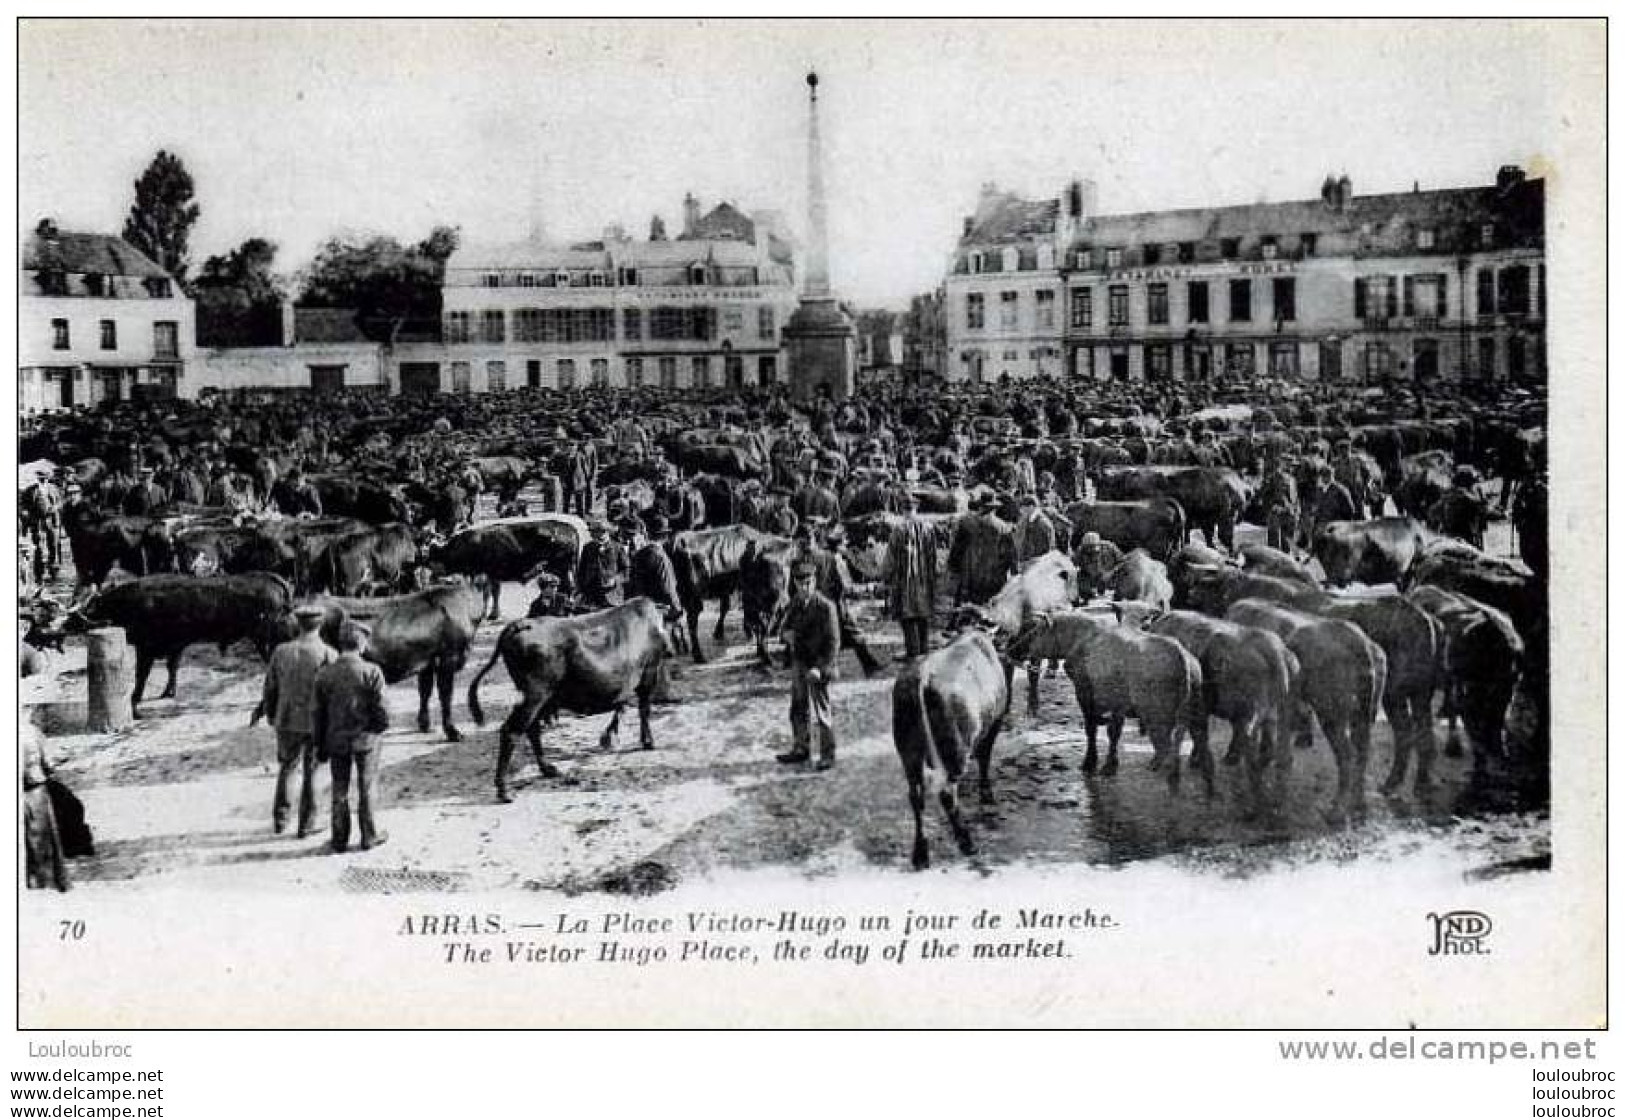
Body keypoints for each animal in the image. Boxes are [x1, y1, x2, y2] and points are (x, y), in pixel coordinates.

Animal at [68, 572, 294, 711]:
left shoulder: (146, 648)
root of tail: (270, 579)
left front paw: (135, 698)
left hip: (265, 640)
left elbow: (142, 674)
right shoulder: (175, 646)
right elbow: (172, 668)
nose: (68, 622)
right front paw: (168, 692)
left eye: (90, 608)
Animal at [468, 598, 676, 799]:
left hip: (540, 698)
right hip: (535, 695)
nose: (672, 651)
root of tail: (519, 624)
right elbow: (643, 710)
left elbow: (623, 706)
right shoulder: (649, 674)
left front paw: (610, 736)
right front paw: (647, 742)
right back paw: (504, 790)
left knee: (532, 729)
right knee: (511, 731)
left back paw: (548, 769)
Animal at [897, 624, 1007, 871]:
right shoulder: (995, 723)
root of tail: (923, 676)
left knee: (915, 795)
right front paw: (986, 794)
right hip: (956, 749)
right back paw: (967, 842)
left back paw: (920, 853)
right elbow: (985, 757)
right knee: (947, 793)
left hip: (909, 751)